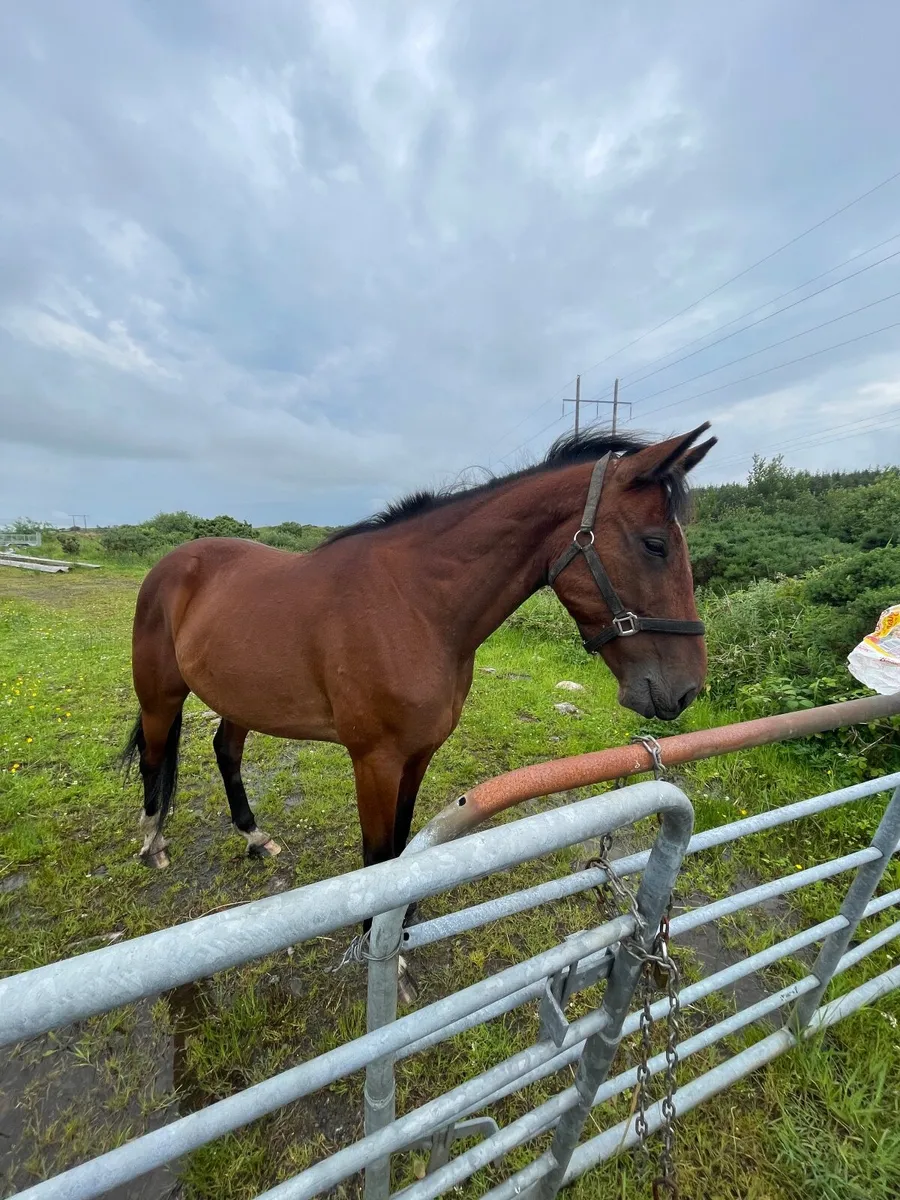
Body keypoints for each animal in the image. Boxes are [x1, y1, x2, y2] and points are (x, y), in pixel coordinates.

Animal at [123, 424, 715, 895]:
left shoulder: (419, 755)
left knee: (226, 752)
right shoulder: (375, 763)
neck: (415, 605)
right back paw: (152, 844)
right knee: (155, 757)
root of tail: (173, 563)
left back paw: (254, 837)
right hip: (160, 694)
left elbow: (404, 849)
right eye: (656, 544)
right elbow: (377, 857)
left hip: (240, 699)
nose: (686, 689)